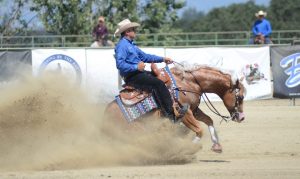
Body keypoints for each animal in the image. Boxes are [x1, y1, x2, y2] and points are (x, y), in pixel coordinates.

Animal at [104, 63, 245, 153]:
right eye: (241, 96)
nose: (242, 118)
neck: (189, 83)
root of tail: (105, 116)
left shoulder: (194, 110)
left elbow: (209, 120)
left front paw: (216, 146)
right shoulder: (185, 113)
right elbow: (199, 130)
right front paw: (189, 147)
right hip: (135, 129)